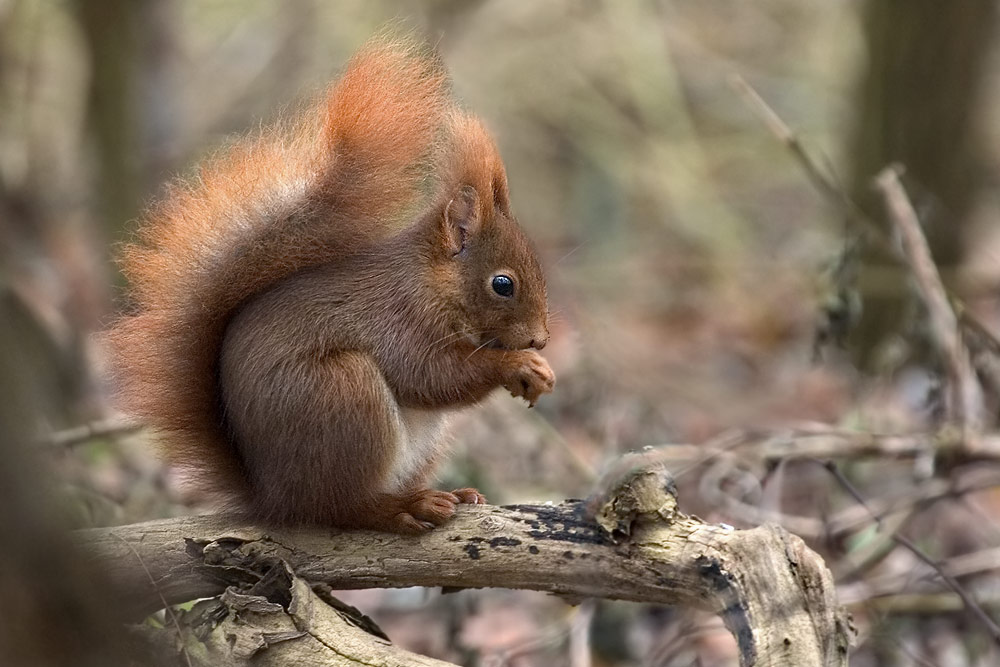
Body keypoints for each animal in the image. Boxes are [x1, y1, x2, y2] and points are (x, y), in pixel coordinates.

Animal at [109, 39, 556, 536]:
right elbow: (433, 376)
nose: (540, 339)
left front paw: (538, 371)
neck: (432, 283)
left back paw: (450, 494)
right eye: (502, 284)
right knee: (341, 507)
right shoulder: (401, 319)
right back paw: (403, 507)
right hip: (342, 395)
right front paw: (517, 365)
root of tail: (275, 498)